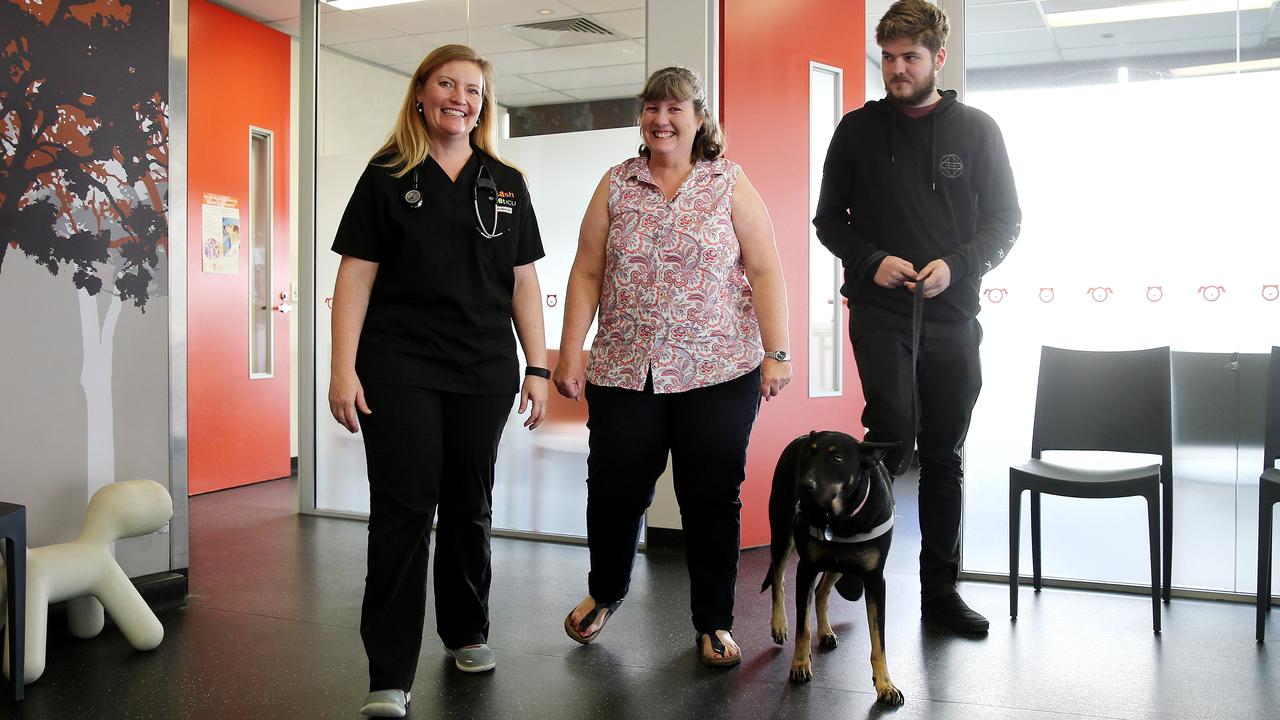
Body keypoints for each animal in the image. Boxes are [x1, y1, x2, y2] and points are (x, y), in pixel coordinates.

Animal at [762, 427, 906, 702]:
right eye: (809, 454)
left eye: (837, 459)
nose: (804, 486)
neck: (841, 517)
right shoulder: (805, 569)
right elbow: (802, 628)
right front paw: (800, 664)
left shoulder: (875, 580)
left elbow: (878, 639)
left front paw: (885, 684)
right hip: (783, 533)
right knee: (778, 577)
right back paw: (779, 624)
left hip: (840, 563)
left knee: (822, 592)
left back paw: (826, 631)